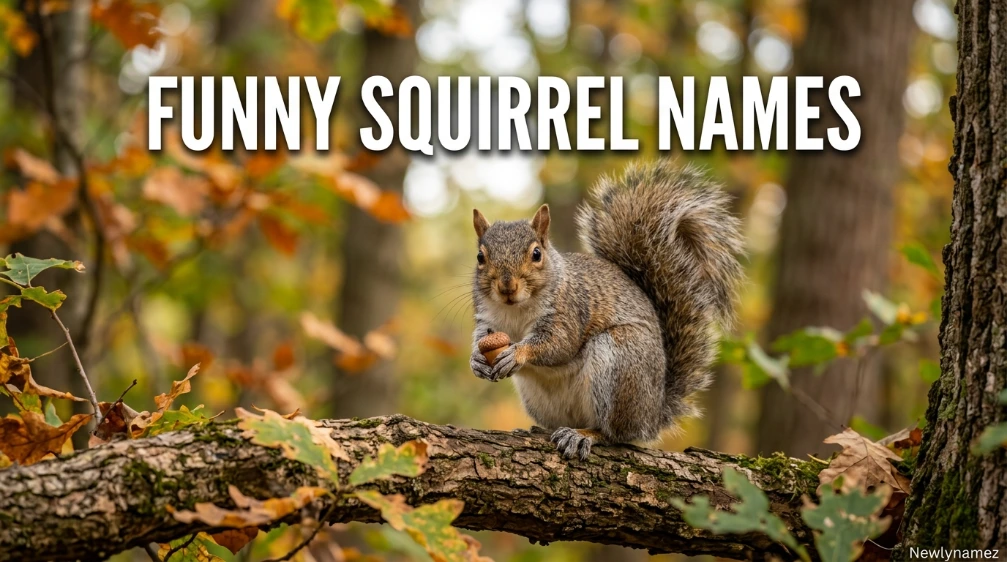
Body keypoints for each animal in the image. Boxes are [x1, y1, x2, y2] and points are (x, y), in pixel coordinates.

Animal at [469, 160, 744, 459]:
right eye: (480, 257)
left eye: (536, 254)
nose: (507, 286)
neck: (516, 309)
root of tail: (653, 415)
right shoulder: (488, 319)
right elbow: (481, 339)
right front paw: (477, 360)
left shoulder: (570, 310)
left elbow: (557, 344)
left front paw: (518, 353)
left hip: (620, 360)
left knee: (615, 434)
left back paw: (584, 435)